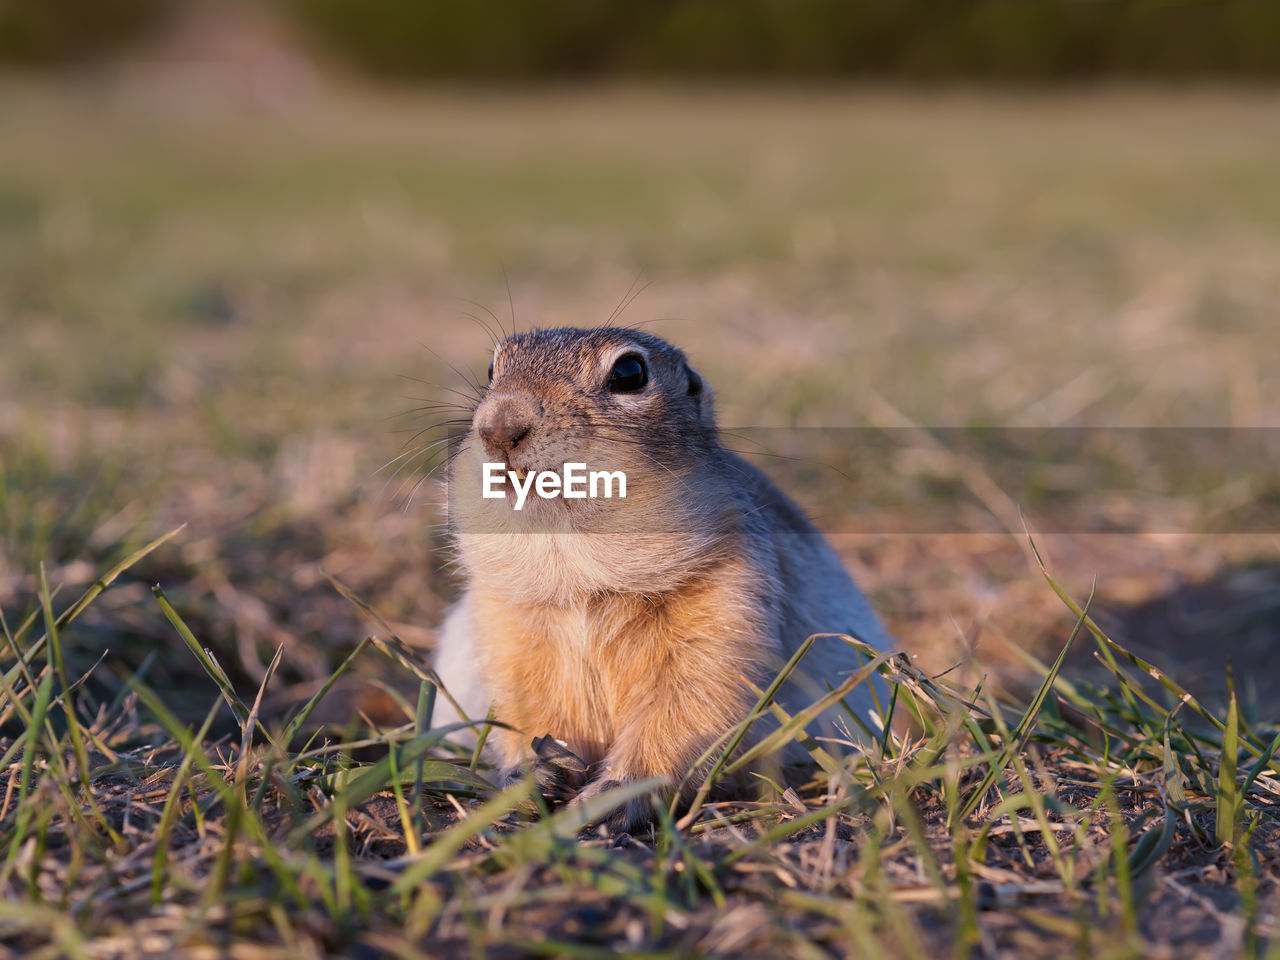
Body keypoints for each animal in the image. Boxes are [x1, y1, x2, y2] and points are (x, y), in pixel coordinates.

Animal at [430, 327, 890, 829]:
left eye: (630, 372)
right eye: (492, 368)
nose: (498, 426)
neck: (579, 569)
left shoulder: (729, 601)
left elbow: (692, 706)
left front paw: (612, 796)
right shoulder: (509, 623)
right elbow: (527, 698)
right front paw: (534, 774)